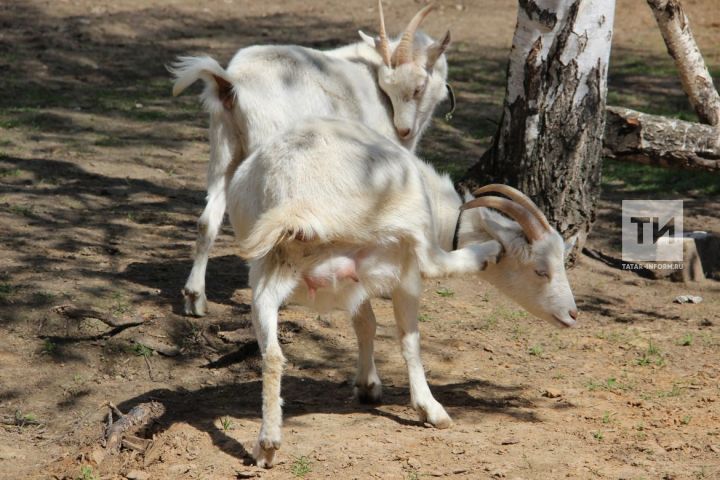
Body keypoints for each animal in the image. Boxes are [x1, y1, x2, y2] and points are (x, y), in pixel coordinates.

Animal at [169, 1, 452, 316]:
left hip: (224, 149)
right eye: (395, 88)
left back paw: (195, 298)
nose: (404, 130)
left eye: (417, 88)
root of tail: (231, 83)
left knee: (208, 219)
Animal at [226, 117, 580, 468]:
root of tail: (296, 195)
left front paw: (367, 385)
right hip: (405, 231)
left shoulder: (357, 279)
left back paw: (267, 444)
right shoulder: (399, 268)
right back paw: (485, 253)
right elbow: (409, 339)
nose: (572, 314)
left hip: (271, 265)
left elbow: (365, 324)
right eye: (540, 271)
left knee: (272, 354)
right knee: (434, 265)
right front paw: (425, 408)